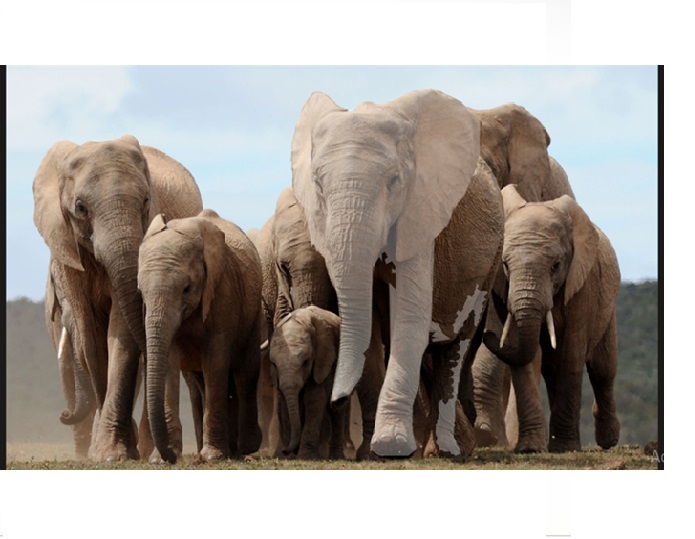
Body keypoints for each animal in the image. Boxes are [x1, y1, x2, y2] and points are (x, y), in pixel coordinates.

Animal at [33, 135, 203, 461]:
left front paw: (114, 453)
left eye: (147, 201)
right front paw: (110, 452)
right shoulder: (67, 252)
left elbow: (121, 332)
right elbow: (92, 339)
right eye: (80, 207)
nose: (63, 414)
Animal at [137, 209, 264, 463]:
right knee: (203, 382)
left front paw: (213, 457)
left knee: (245, 373)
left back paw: (244, 449)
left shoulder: (223, 289)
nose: (172, 458)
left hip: (254, 314)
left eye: (187, 288)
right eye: (140, 292)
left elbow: (215, 359)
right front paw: (159, 460)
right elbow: (169, 361)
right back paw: (231, 450)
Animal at [268, 306, 347, 460]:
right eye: (273, 364)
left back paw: (336, 457)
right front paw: (293, 456)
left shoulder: (323, 359)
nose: (285, 451)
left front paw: (304, 456)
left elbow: (314, 400)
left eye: (306, 362)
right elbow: (286, 401)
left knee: (337, 410)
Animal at [292, 89, 504, 458]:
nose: (336, 399)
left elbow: (410, 320)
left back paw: (447, 450)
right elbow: (372, 333)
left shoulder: (420, 215)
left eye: (393, 182)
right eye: (317, 184)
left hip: (491, 260)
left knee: (456, 346)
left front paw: (391, 445)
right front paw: (375, 453)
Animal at [482, 185, 621, 452]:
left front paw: (565, 448)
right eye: (504, 264)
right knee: (553, 370)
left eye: (556, 265)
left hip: (607, 307)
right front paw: (530, 449)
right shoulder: (504, 290)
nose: (487, 334)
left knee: (603, 370)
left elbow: (572, 354)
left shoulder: (583, 285)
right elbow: (525, 356)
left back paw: (608, 442)